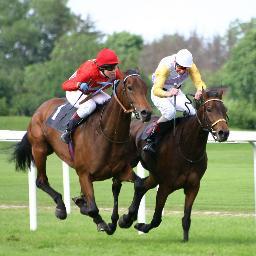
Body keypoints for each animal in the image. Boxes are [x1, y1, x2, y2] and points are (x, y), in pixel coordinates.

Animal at [12, 69, 152, 235]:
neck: (106, 134)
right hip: (40, 149)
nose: (146, 113)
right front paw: (101, 222)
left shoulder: (121, 170)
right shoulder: (84, 174)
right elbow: (92, 208)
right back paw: (61, 208)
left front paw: (127, 218)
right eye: (130, 87)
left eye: (145, 88)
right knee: (41, 181)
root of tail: (40, 109)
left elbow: (139, 184)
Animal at [119, 88, 229, 240]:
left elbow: (186, 219)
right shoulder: (165, 186)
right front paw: (141, 226)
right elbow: (156, 219)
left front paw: (185, 240)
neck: (187, 148)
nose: (223, 132)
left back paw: (127, 218)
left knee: (140, 186)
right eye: (209, 109)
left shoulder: (193, 186)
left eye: (225, 109)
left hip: (155, 175)